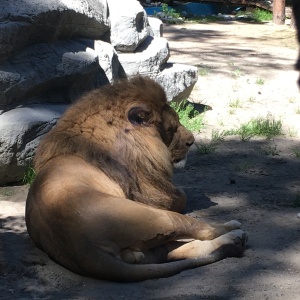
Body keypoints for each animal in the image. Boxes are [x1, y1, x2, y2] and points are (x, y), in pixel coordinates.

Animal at [25, 75, 246, 282]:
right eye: (172, 128)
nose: (191, 141)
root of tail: (79, 246)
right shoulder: (149, 190)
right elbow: (182, 196)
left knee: (176, 251)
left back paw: (234, 242)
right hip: (156, 217)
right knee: (199, 230)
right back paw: (234, 230)